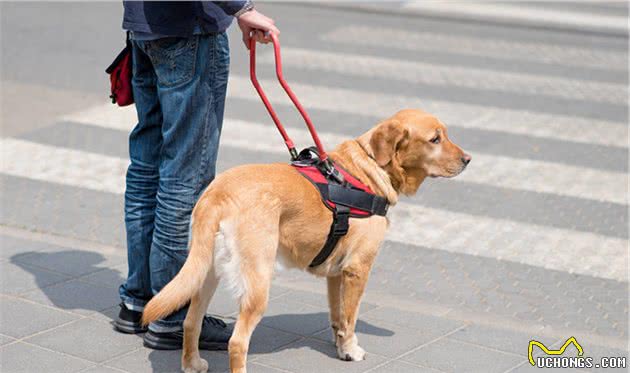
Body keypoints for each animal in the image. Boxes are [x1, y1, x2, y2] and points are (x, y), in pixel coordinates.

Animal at [142, 109, 470, 370]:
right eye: (435, 139)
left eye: (445, 134)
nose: (468, 159)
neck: (369, 167)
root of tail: (218, 193)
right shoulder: (357, 269)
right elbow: (351, 318)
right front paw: (351, 350)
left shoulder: (336, 273)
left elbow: (338, 317)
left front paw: (340, 348)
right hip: (257, 282)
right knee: (237, 342)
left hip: (205, 273)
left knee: (190, 322)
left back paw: (192, 364)